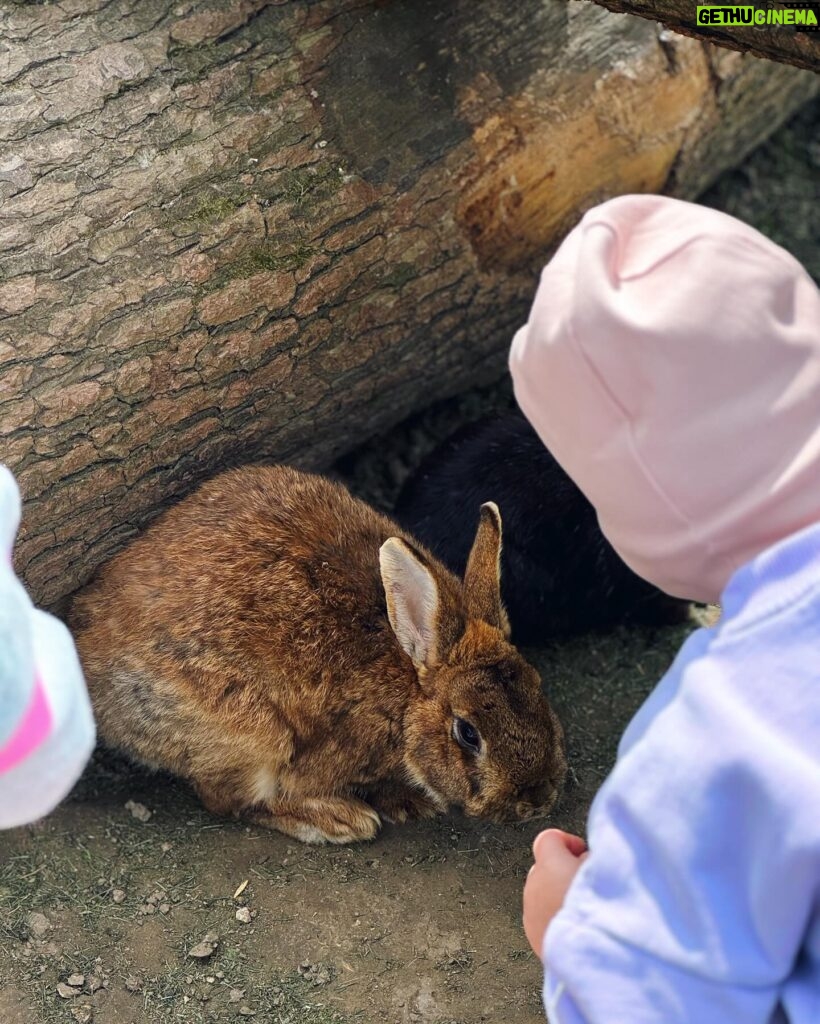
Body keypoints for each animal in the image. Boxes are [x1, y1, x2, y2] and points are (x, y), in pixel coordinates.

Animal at [72, 468, 565, 843]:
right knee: (228, 799)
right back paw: (340, 821)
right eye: (467, 733)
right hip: (251, 733)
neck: (407, 693)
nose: (536, 801)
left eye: (538, 687)